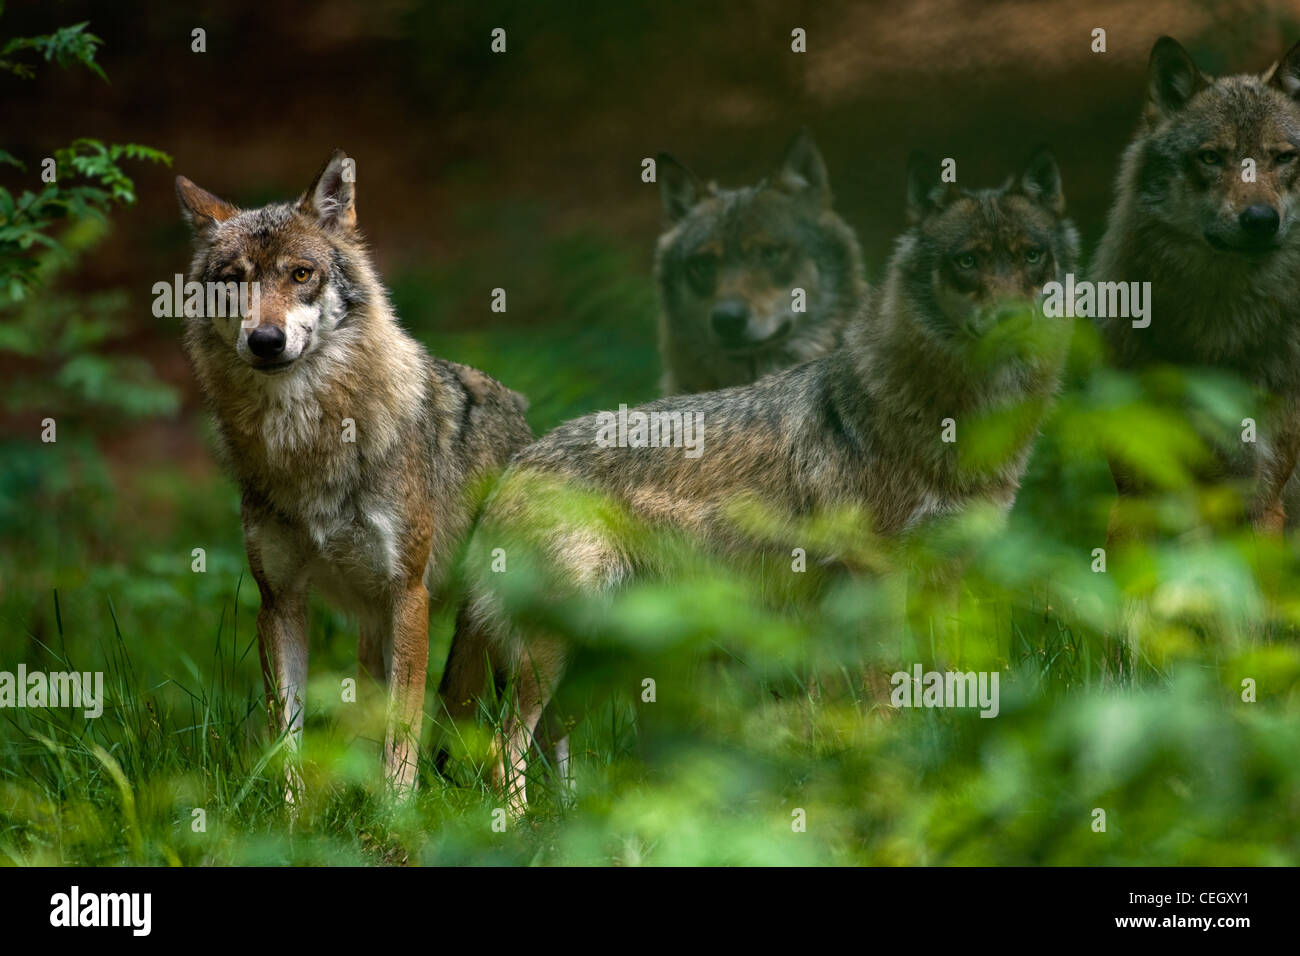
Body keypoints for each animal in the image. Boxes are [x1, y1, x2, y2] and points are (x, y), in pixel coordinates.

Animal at [178, 151, 533, 801]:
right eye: (234, 280)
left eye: (301, 274)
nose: (265, 340)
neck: (309, 441)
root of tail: (521, 414)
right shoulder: (280, 600)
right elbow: (287, 731)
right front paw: (292, 814)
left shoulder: (408, 595)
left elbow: (406, 728)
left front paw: (397, 813)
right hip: (375, 627)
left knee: (524, 730)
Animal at [1092, 33, 1300, 535]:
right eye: (1211, 157)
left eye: (1284, 157)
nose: (1261, 220)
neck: (1219, 331)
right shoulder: (1137, 491)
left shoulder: (1261, 495)